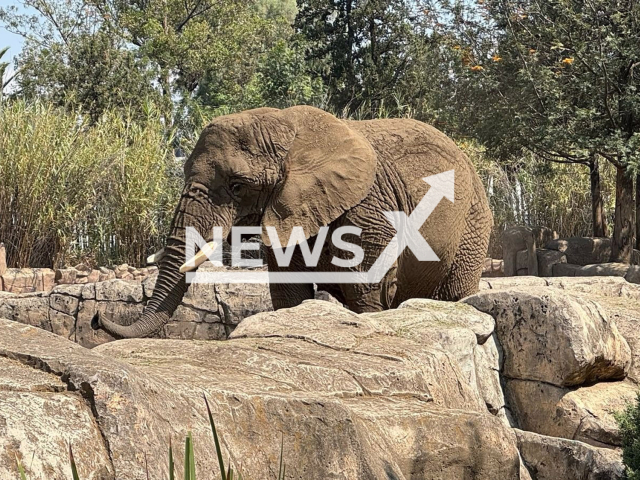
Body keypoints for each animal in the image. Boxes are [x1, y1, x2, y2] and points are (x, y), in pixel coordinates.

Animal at [97, 106, 492, 338]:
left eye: (237, 185)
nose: (97, 319)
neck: (287, 129)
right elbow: (289, 290)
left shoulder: (369, 207)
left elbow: (368, 285)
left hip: (474, 220)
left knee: (455, 290)